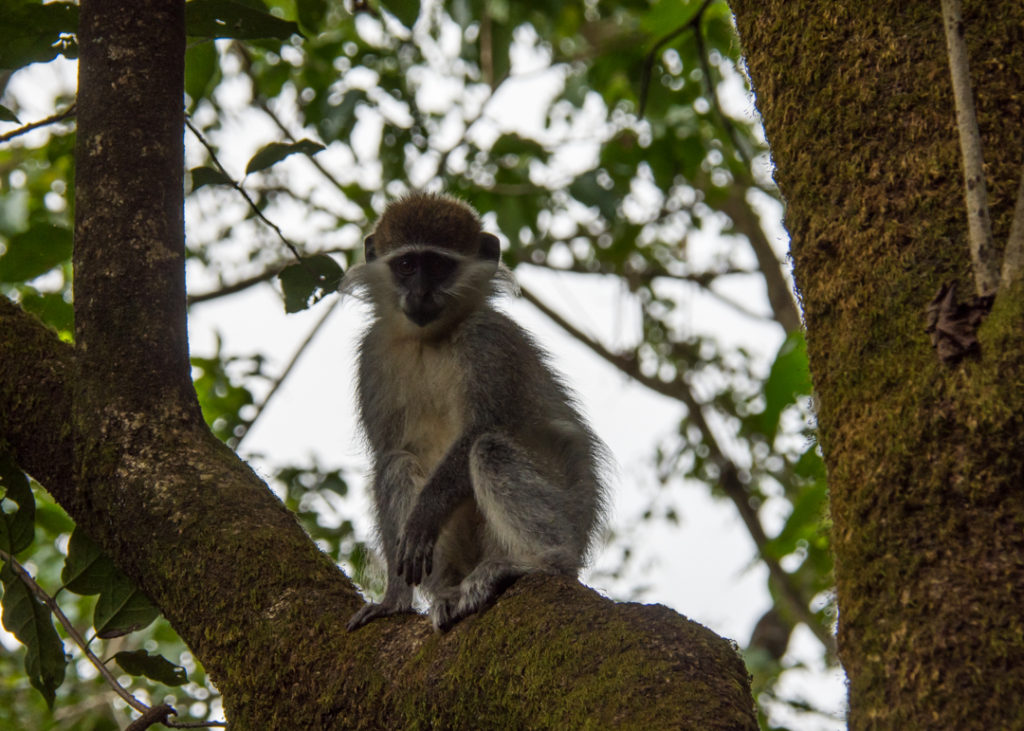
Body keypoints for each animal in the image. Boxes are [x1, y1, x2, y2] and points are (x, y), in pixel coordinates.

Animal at [344, 190, 602, 630]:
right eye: (407, 265)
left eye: (438, 265)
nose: (420, 294)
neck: (429, 340)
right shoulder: (372, 355)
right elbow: (387, 454)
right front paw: (394, 598)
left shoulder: (487, 342)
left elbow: (480, 430)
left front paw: (424, 515)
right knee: (398, 464)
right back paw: (446, 591)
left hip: (570, 508)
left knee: (489, 449)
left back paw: (540, 562)